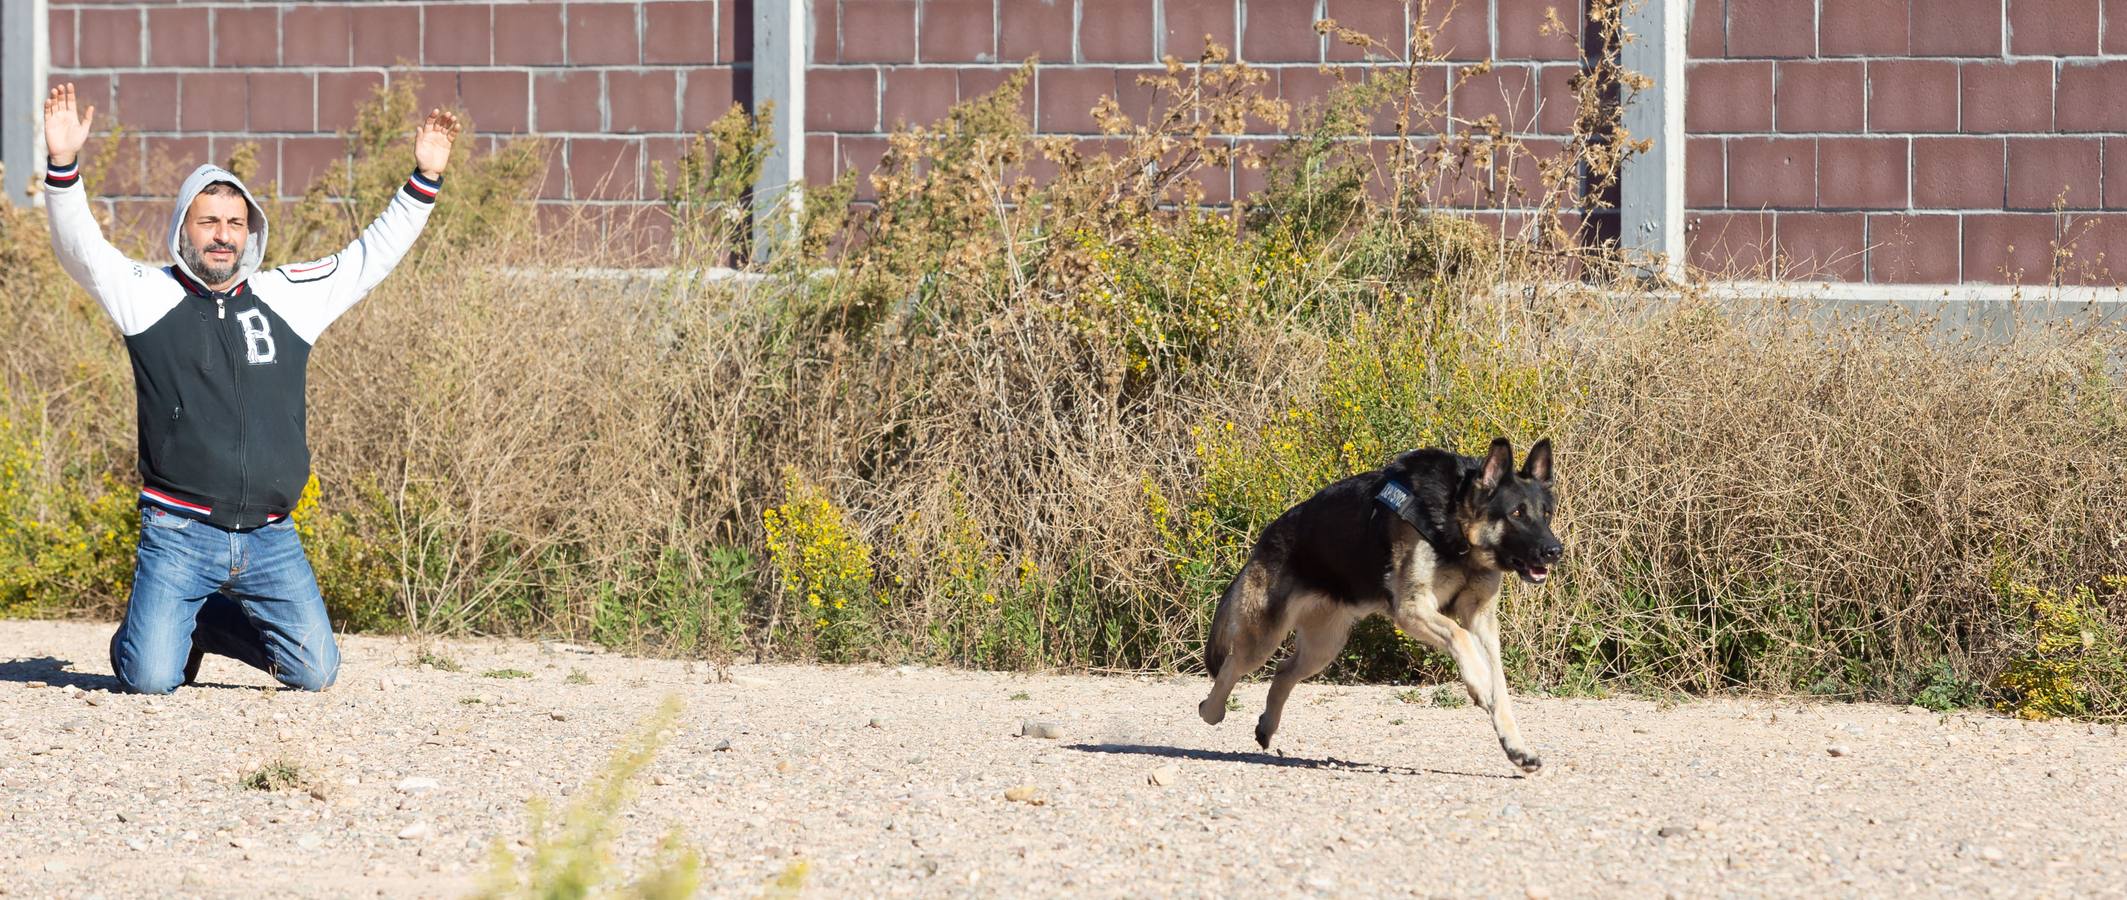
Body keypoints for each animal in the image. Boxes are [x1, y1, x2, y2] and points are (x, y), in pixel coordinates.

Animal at [1199, 436, 1565, 774]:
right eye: (1516, 513)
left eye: (1546, 514)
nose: (1554, 551)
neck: (1454, 523)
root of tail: (1266, 536)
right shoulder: (1413, 610)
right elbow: (1460, 638)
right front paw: (1477, 681)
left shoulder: (1481, 620)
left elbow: (1500, 686)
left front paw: (1516, 747)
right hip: (1264, 638)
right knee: (1232, 666)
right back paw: (1210, 711)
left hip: (1323, 646)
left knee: (1283, 671)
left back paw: (1266, 726)